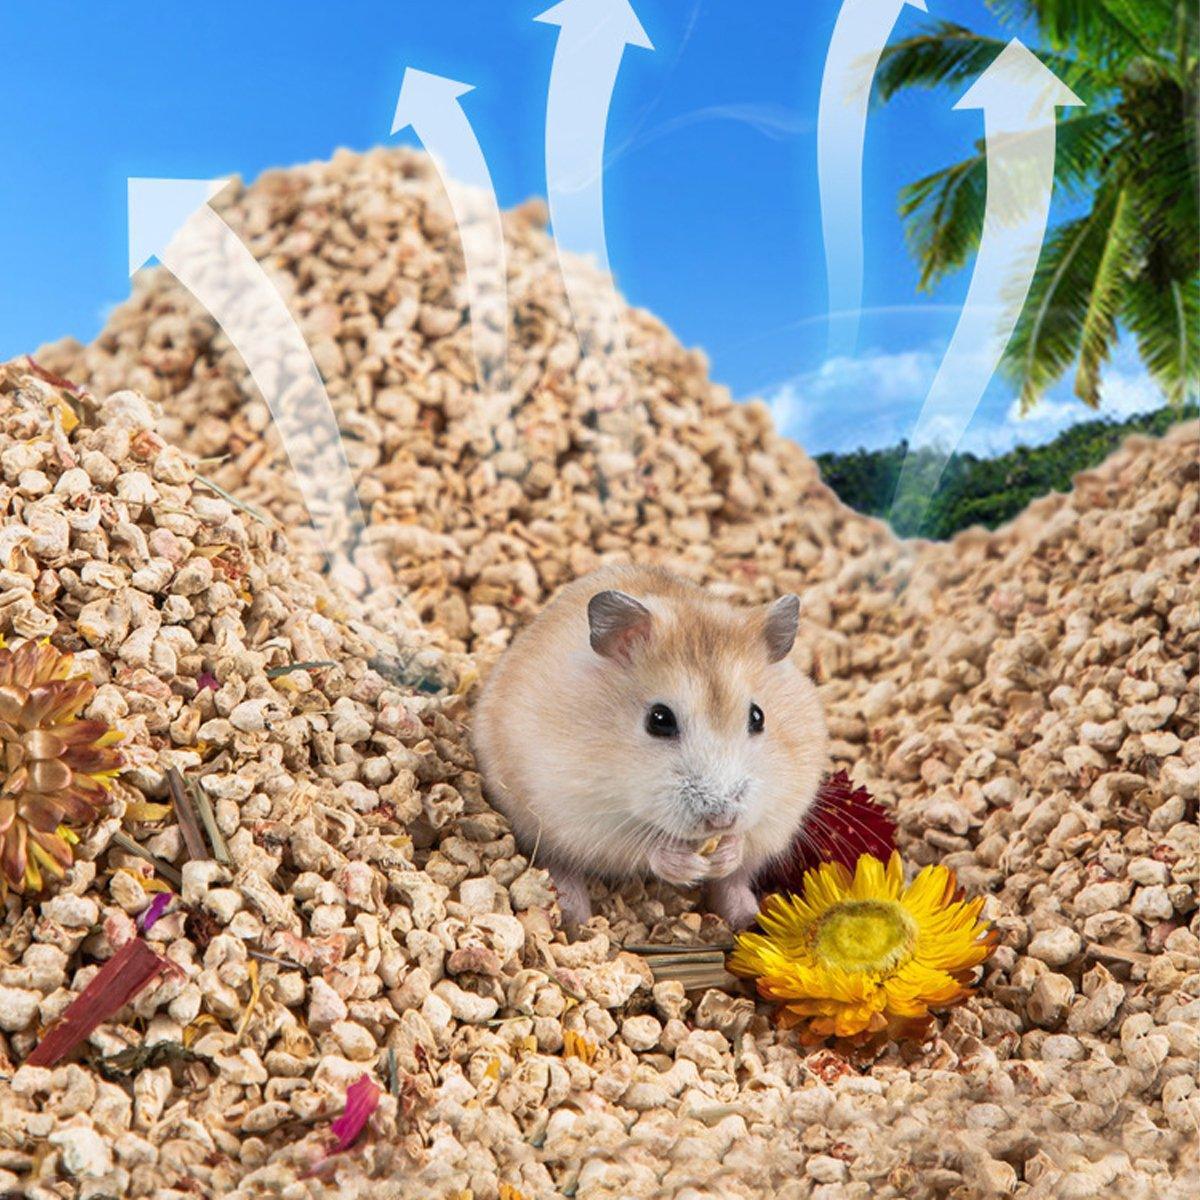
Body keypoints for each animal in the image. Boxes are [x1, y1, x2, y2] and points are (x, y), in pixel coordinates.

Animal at [472, 564, 828, 929]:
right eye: (659, 719)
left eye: (758, 717)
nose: (721, 820)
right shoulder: (581, 812)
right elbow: (643, 849)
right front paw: (688, 865)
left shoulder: (783, 807)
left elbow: (746, 842)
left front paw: (725, 853)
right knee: (559, 863)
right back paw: (575, 916)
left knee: (734, 882)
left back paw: (747, 915)